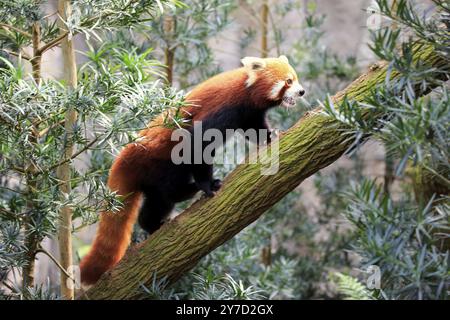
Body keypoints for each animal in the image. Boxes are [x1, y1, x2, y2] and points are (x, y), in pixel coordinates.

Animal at [81, 55, 306, 284]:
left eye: (295, 79)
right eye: (288, 81)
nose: (302, 92)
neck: (246, 90)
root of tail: (124, 158)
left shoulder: (249, 112)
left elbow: (255, 129)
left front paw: (272, 136)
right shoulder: (223, 109)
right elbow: (198, 144)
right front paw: (208, 185)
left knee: (157, 202)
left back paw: (153, 224)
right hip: (161, 163)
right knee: (169, 189)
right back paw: (189, 190)